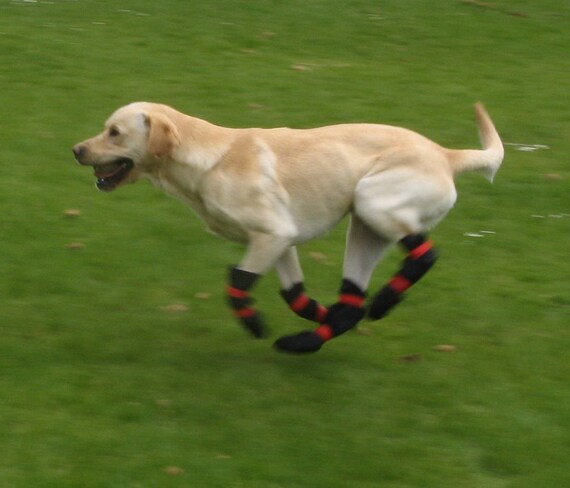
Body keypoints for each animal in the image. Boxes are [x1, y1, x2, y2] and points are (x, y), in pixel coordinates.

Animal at [73, 101, 504, 352]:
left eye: (114, 132)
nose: (76, 149)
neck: (208, 160)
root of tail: (447, 155)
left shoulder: (272, 234)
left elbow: (237, 282)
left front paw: (254, 324)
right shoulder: (281, 240)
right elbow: (294, 295)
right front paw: (319, 316)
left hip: (372, 199)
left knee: (425, 254)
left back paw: (381, 302)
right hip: (365, 226)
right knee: (352, 302)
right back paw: (308, 339)